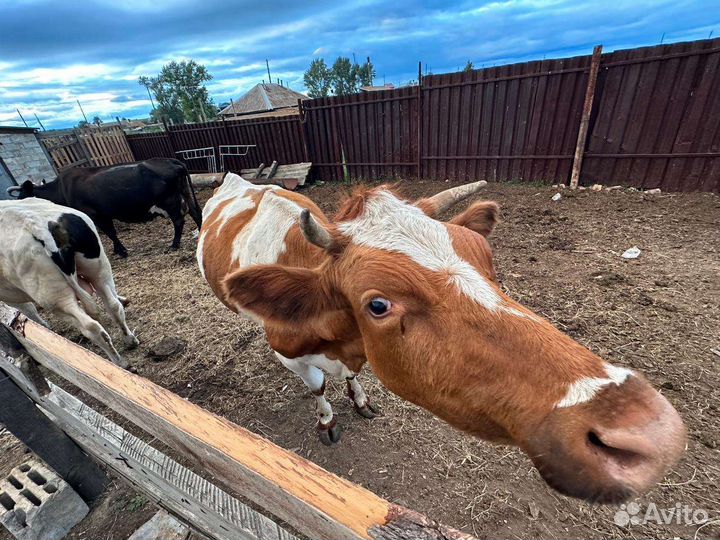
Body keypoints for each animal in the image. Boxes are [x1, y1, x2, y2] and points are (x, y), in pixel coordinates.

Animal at [0, 198, 138, 368]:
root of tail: (36, 225)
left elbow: (27, 310)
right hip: (98, 269)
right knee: (113, 306)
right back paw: (130, 339)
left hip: (54, 298)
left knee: (91, 327)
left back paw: (119, 362)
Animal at [6, 158, 202, 258]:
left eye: (22, 197)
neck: (62, 188)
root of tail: (171, 161)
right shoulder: (103, 214)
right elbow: (111, 232)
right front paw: (118, 250)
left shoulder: (95, 214)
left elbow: (110, 232)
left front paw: (121, 251)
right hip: (184, 193)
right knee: (196, 213)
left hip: (169, 201)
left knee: (179, 220)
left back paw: (174, 244)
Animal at [196, 173, 686, 503]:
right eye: (378, 305)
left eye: (485, 254)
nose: (646, 426)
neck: (342, 342)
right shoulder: (291, 355)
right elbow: (318, 389)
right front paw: (328, 421)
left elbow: (352, 381)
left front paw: (359, 400)